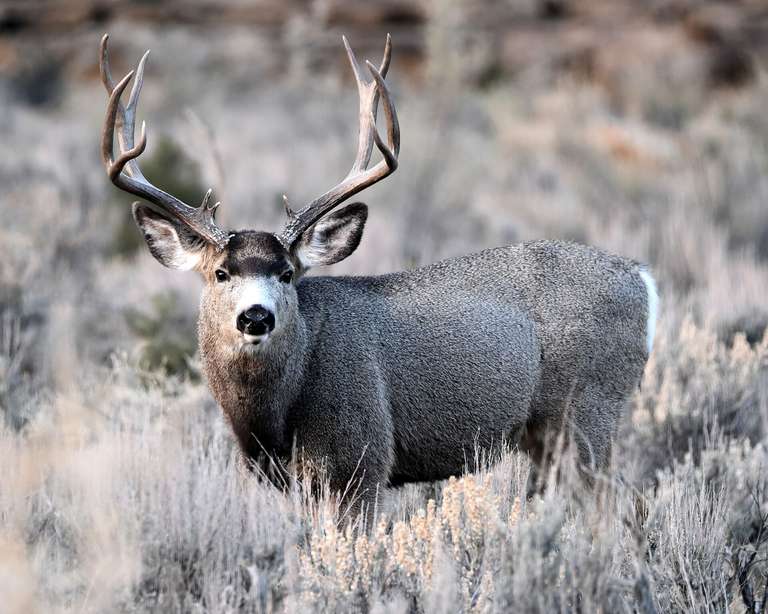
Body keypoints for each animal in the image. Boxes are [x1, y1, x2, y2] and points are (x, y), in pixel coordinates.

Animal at [99, 33, 656, 524]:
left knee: (617, 507)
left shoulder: (361, 456)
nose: (255, 317)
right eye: (220, 272)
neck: (274, 414)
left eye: (287, 273)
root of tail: (642, 277)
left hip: (589, 407)